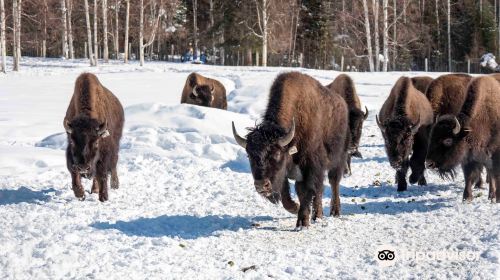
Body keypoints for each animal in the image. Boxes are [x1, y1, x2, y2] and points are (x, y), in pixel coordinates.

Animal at [64, 73, 124, 202]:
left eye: (96, 142)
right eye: (72, 142)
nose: (83, 168)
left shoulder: (104, 154)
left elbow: (102, 174)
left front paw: (104, 197)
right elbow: (74, 175)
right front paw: (80, 194)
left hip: (116, 143)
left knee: (114, 163)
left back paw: (114, 184)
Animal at [230, 71, 348, 228]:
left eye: (277, 153)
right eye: (249, 155)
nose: (261, 185)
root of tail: (342, 103)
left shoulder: (310, 167)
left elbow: (305, 191)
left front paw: (302, 222)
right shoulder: (284, 173)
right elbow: (287, 196)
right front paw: (296, 208)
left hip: (338, 159)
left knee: (333, 182)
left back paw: (334, 211)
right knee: (320, 189)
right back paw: (317, 215)